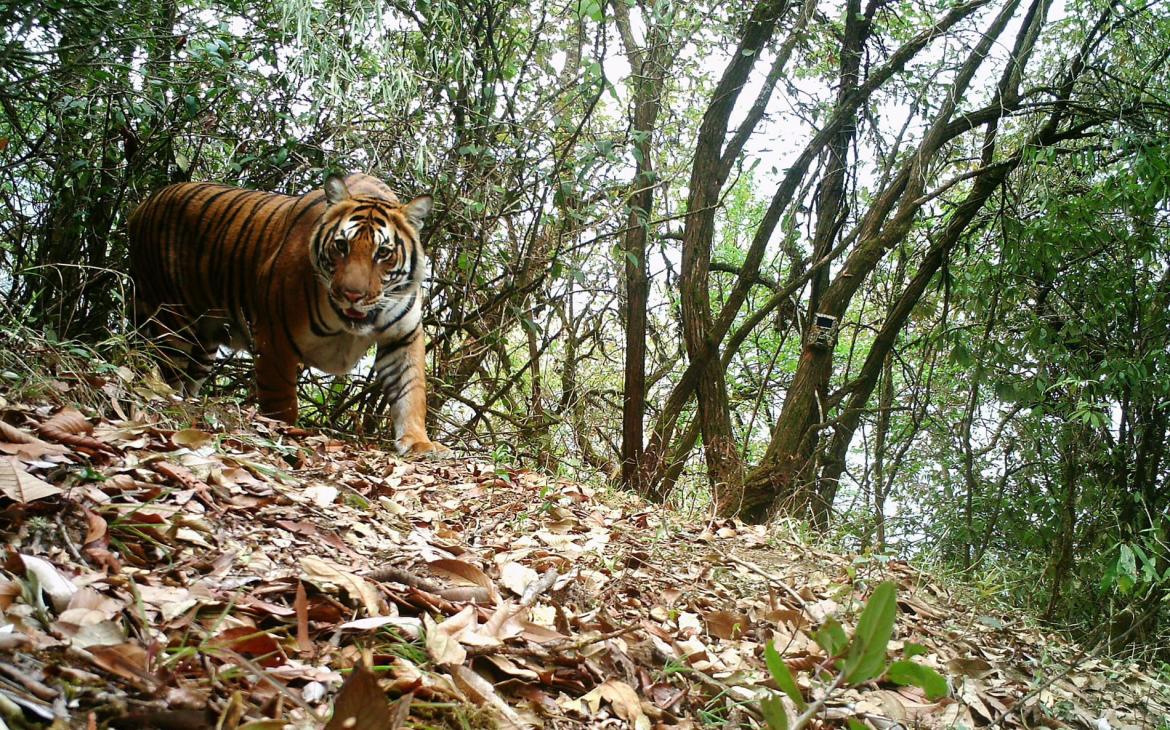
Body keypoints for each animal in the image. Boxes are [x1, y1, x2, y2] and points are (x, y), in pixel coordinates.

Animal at [125, 173, 439, 453]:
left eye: (383, 253)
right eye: (341, 246)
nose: (352, 295)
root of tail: (142, 204)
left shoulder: (403, 338)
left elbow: (410, 391)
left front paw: (419, 442)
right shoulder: (275, 336)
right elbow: (281, 400)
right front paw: (285, 432)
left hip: (205, 342)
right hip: (171, 320)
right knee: (167, 371)